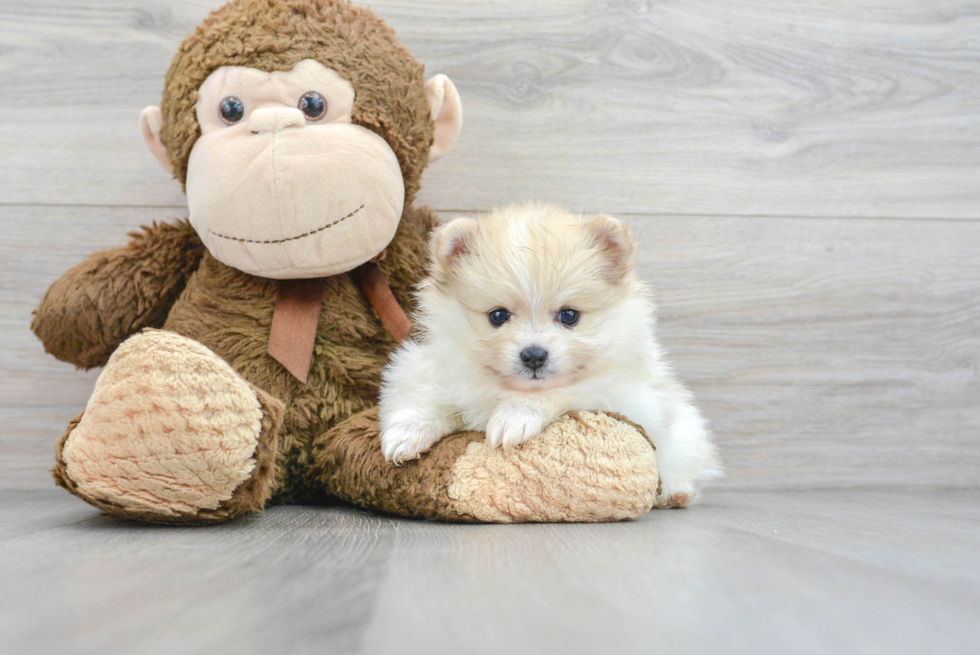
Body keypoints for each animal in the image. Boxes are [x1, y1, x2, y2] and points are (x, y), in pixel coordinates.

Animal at [378, 204, 724, 508]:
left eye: (569, 315)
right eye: (498, 316)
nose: (533, 355)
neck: (504, 388)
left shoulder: (627, 397)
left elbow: (561, 392)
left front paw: (516, 416)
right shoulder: (425, 367)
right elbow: (422, 400)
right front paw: (407, 435)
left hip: (686, 434)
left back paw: (677, 493)